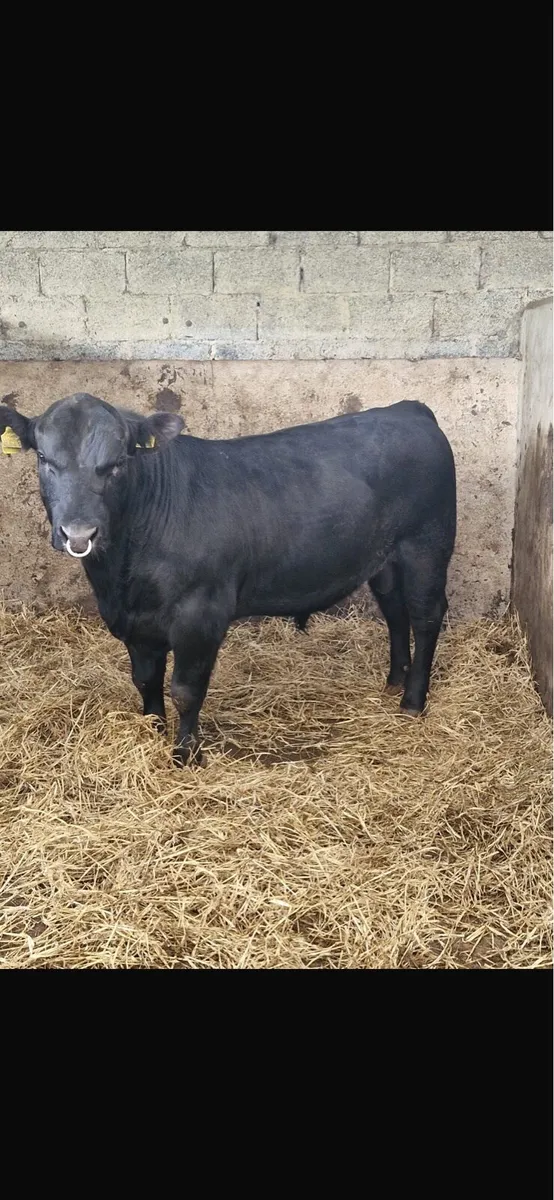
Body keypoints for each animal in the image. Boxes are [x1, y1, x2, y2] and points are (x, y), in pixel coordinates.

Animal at [0, 394, 456, 766]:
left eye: (118, 464)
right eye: (44, 459)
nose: (79, 534)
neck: (122, 576)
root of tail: (408, 409)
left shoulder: (201, 614)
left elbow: (185, 689)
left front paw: (185, 755)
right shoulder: (136, 622)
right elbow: (145, 680)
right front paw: (152, 733)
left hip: (427, 545)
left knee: (426, 616)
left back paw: (412, 700)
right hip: (385, 559)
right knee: (394, 611)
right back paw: (394, 681)